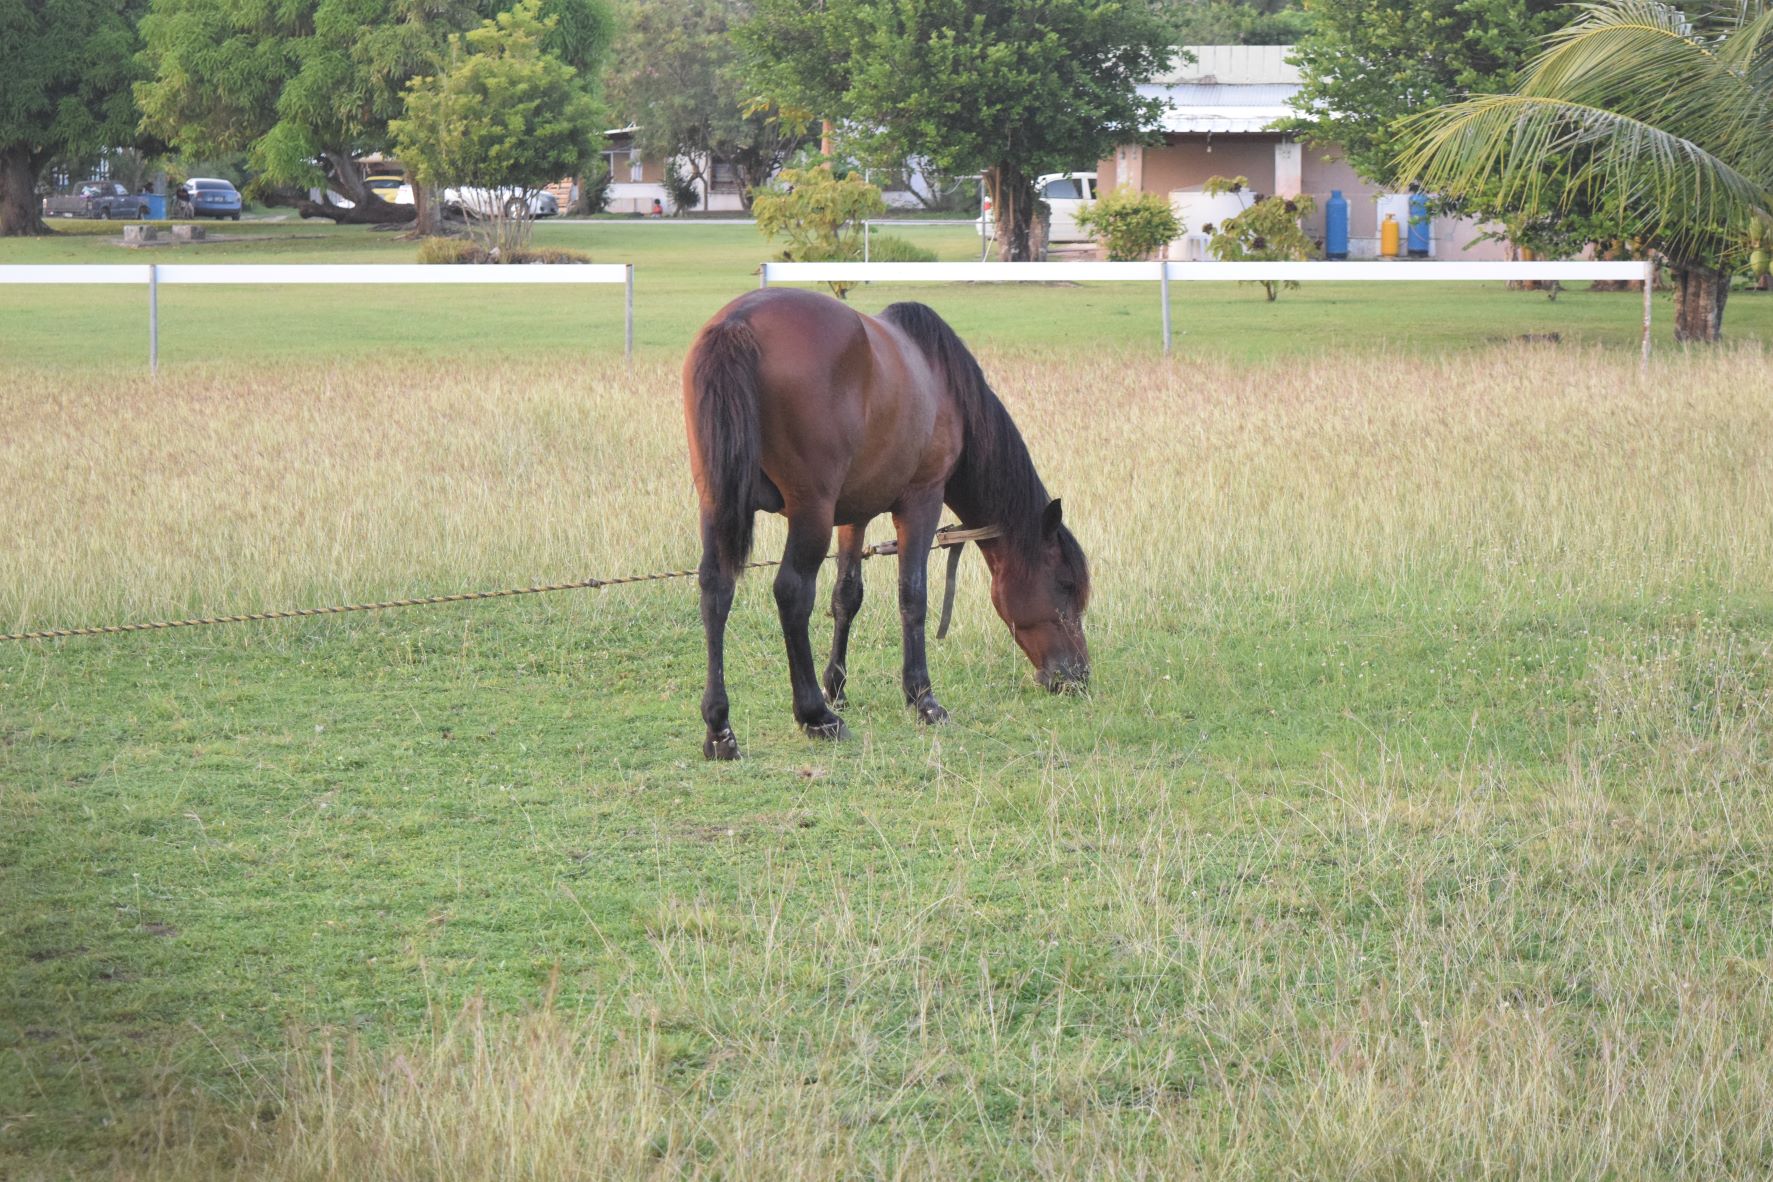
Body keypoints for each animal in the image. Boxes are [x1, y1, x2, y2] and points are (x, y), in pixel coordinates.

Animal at [683, 287, 1090, 760]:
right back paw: (814, 715)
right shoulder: (921, 500)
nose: (1078, 676)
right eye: (1065, 585)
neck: (942, 382)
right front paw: (922, 698)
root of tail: (739, 324)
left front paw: (837, 685)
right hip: (810, 511)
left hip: (718, 501)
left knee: (716, 588)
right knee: (792, 593)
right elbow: (913, 596)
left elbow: (846, 597)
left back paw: (719, 727)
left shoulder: (852, 515)